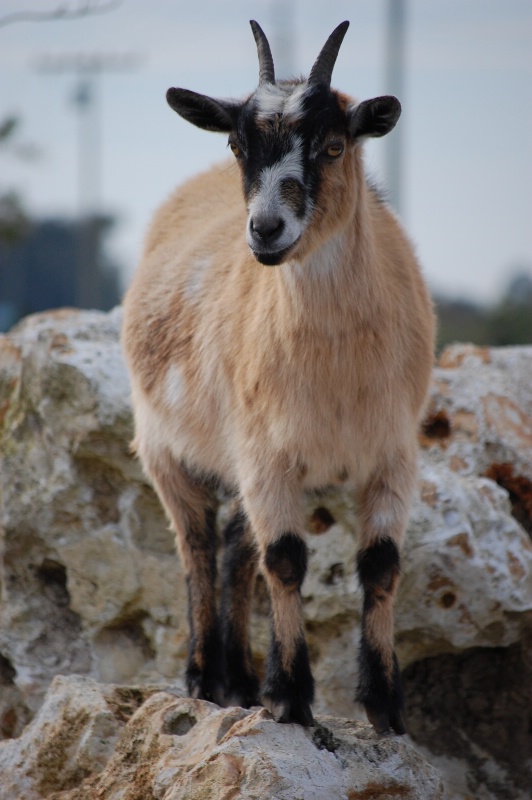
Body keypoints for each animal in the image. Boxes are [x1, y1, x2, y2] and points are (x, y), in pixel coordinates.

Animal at [122, 18, 434, 732]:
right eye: (238, 144)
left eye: (334, 145)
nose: (265, 230)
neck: (337, 370)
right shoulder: (267, 454)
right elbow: (287, 560)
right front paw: (291, 697)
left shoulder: (394, 453)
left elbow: (380, 565)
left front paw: (386, 707)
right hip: (164, 447)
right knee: (198, 546)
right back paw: (203, 678)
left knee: (237, 548)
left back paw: (237, 679)